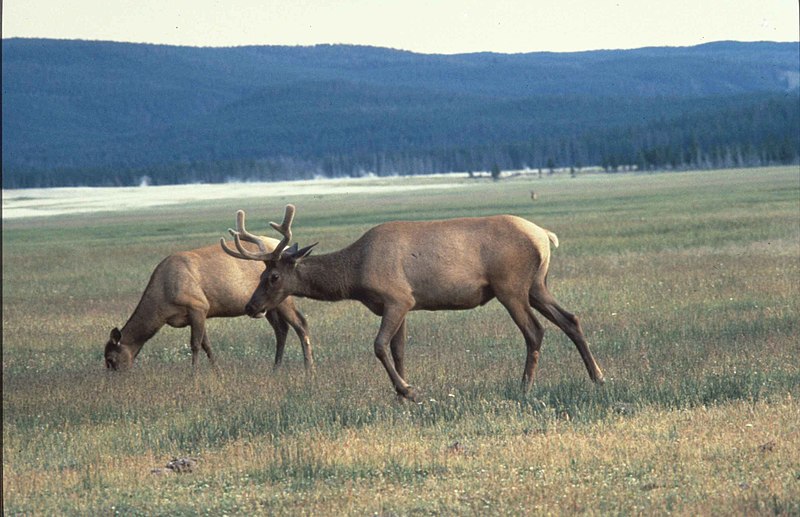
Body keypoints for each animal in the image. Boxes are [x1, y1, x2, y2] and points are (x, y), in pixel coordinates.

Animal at [105, 238, 316, 370]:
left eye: (111, 358)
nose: (114, 380)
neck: (162, 305)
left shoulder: (197, 306)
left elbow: (195, 345)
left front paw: (194, 376)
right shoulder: (198, 314)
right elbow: (207, 344)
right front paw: (218, 372)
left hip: (283, 297)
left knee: (300, 324)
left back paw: (308, 367)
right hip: (267, 305)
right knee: (281, 329)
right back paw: (276, 367)